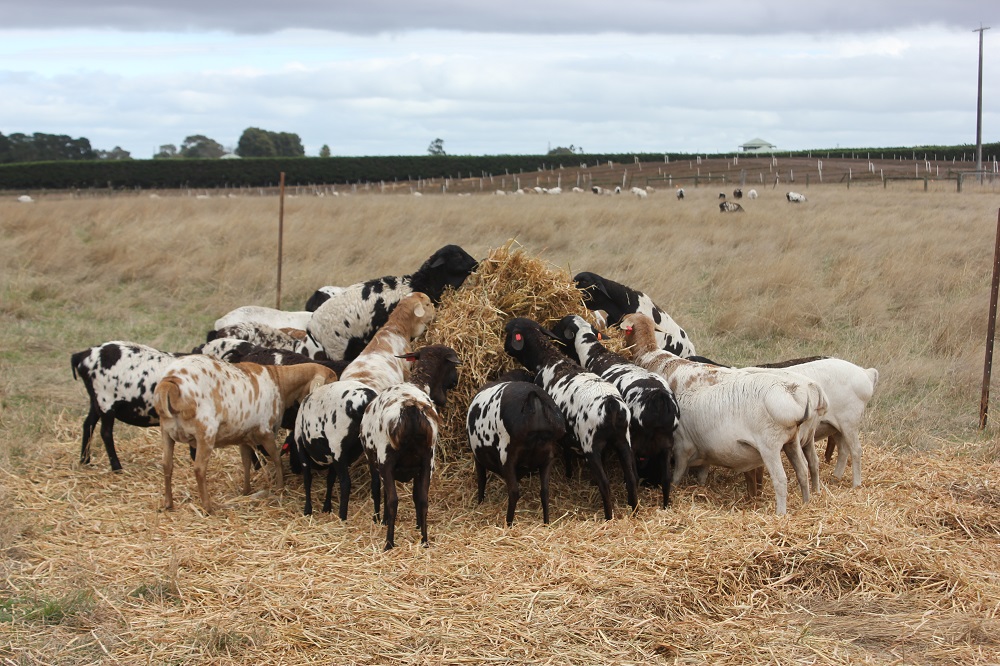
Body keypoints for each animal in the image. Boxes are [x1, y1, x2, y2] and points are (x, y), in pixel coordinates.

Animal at [150, 356, 334, 510]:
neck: (280, 382)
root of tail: (171, 382)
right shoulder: (265, 432)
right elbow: (276, 459)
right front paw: (280, 488)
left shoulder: (244, 436)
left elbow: (246, 462)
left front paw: (246, 491)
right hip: (205, 431)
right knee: (199, 469)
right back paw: (208, 507)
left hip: (166, 432)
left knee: (167, 464)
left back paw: (168, 503)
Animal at [360, 344, 460, 548]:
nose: (455, 381)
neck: (418, 384)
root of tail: (410, 406)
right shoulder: (419, 466)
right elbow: (416, 497)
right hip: (425, 460)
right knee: (421, 500)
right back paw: (424, 541)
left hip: (386, 460)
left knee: (391, 499)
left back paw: (389, 543)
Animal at [500, 316, 640, 520]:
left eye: (509, 332)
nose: (505, 348)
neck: (548, 358)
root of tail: (611, 404)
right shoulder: (567, 431)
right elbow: (567, 449)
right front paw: (569, 474)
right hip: (623, 441)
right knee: (631, 478)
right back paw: (635, 511)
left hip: (591, 445)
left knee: (605, 484)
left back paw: (608, 516)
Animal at [624, 312, 820, 512]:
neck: (650, 355)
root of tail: (795, 394)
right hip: (791, 442)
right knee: (802, 468)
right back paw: (801, 501)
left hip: (769, 444)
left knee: (777, 477)